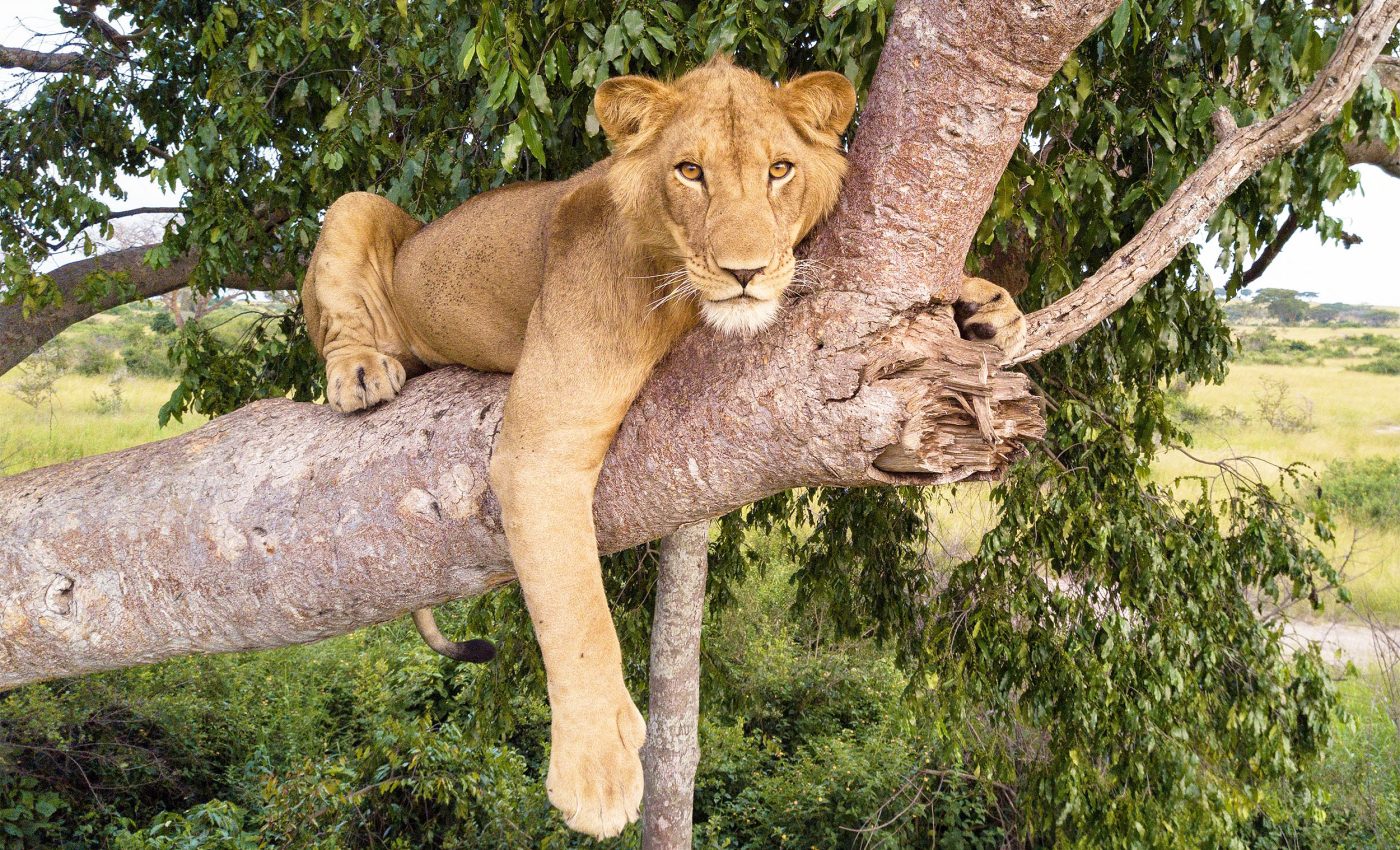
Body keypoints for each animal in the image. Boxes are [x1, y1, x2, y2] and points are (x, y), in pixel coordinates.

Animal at [301, 55, 1026, 839]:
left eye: (779, 169)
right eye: (689, 172)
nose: (745, 272)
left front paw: (987, 305)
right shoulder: (540, 447)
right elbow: (575, 607)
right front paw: (596, 768)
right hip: (354, 207)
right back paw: (361, 372)